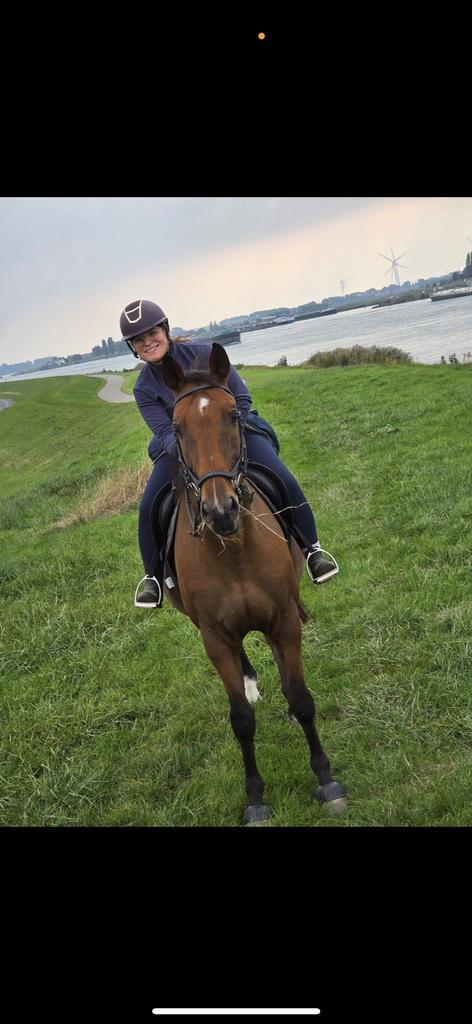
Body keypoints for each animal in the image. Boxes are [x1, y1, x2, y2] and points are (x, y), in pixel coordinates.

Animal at [161, 342, 346, 824]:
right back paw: (250, 681)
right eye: (176, 428)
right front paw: (256, 798)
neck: (235, 549)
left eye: (232, 415)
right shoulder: (215, 636)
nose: (219, 510)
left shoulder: (283, 618)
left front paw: (326, 779)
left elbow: (301, 698)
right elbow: (241, 720)